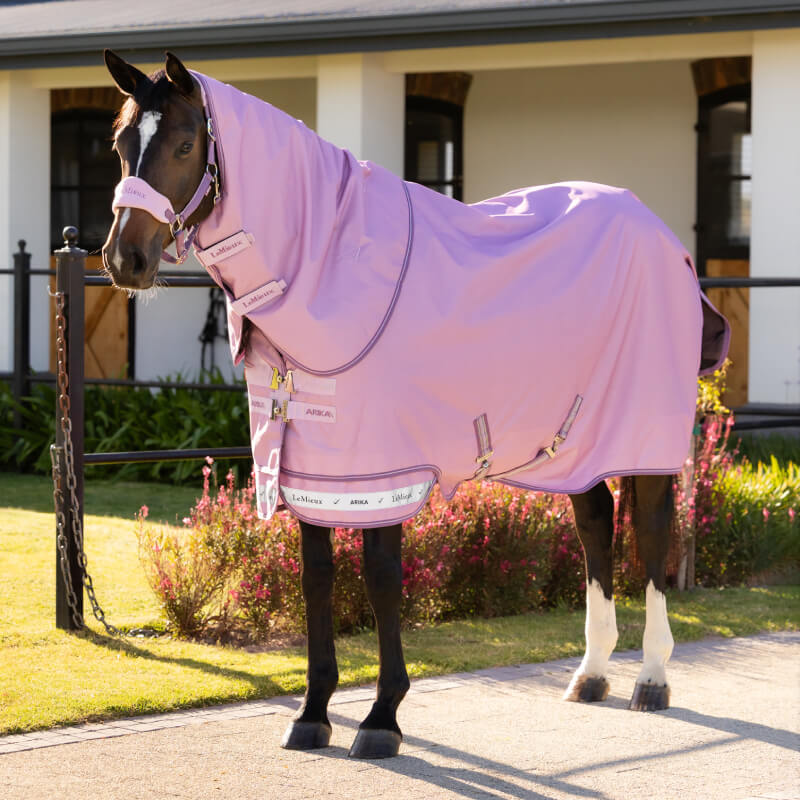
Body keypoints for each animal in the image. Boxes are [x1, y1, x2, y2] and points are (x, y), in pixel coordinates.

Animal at [101, 50, 729, 760]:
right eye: (121, 146)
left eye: (185, 144)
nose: (124, 259)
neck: (333, 267)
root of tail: (667, 241)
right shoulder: (315, 471)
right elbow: (317, 577)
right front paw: (312, 714)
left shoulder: (383, 469)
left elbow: (379, 579)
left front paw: (381, 720)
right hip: (578, 442)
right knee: (596, 528)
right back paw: (591, 674)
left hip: (643, 439)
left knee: (652, 536)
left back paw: (651, 678)